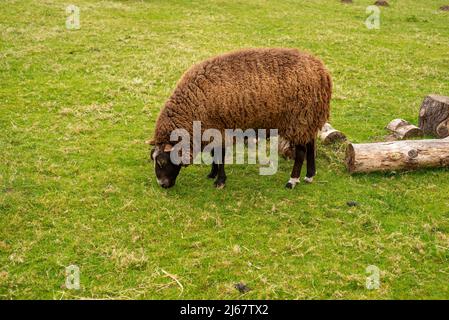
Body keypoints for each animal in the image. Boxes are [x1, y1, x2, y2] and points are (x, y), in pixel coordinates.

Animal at [149, 47, 330, 188]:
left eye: (162, 162)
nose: (162, 185)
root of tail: (321, 70)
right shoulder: (213, 129)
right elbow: (215, 154)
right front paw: (212, 174)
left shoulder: (219, 129)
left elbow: (220, 156)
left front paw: (220, 181)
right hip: (309, 118)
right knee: (311, 145)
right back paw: (309, 175)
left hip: (299, 118)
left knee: (301, 152)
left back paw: (292, 181)